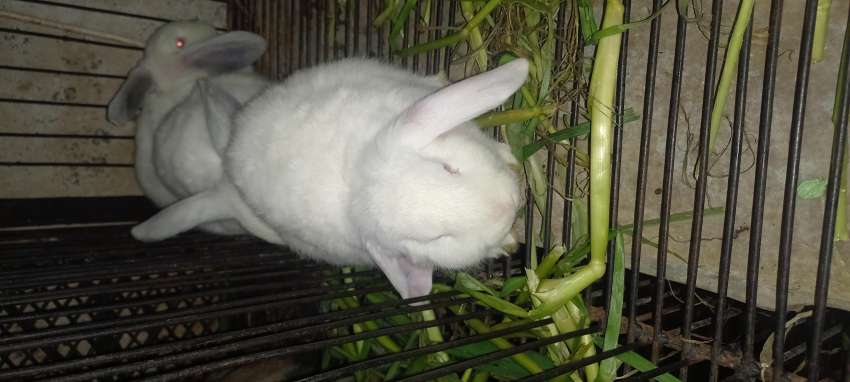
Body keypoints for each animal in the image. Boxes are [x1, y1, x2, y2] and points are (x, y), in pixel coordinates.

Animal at [222, 58, 528, 300]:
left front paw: (509, 158)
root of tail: (234, 140)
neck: (357, 174)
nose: (507, 207)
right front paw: (507, 243)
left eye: (448, 168)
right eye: (438, 238)